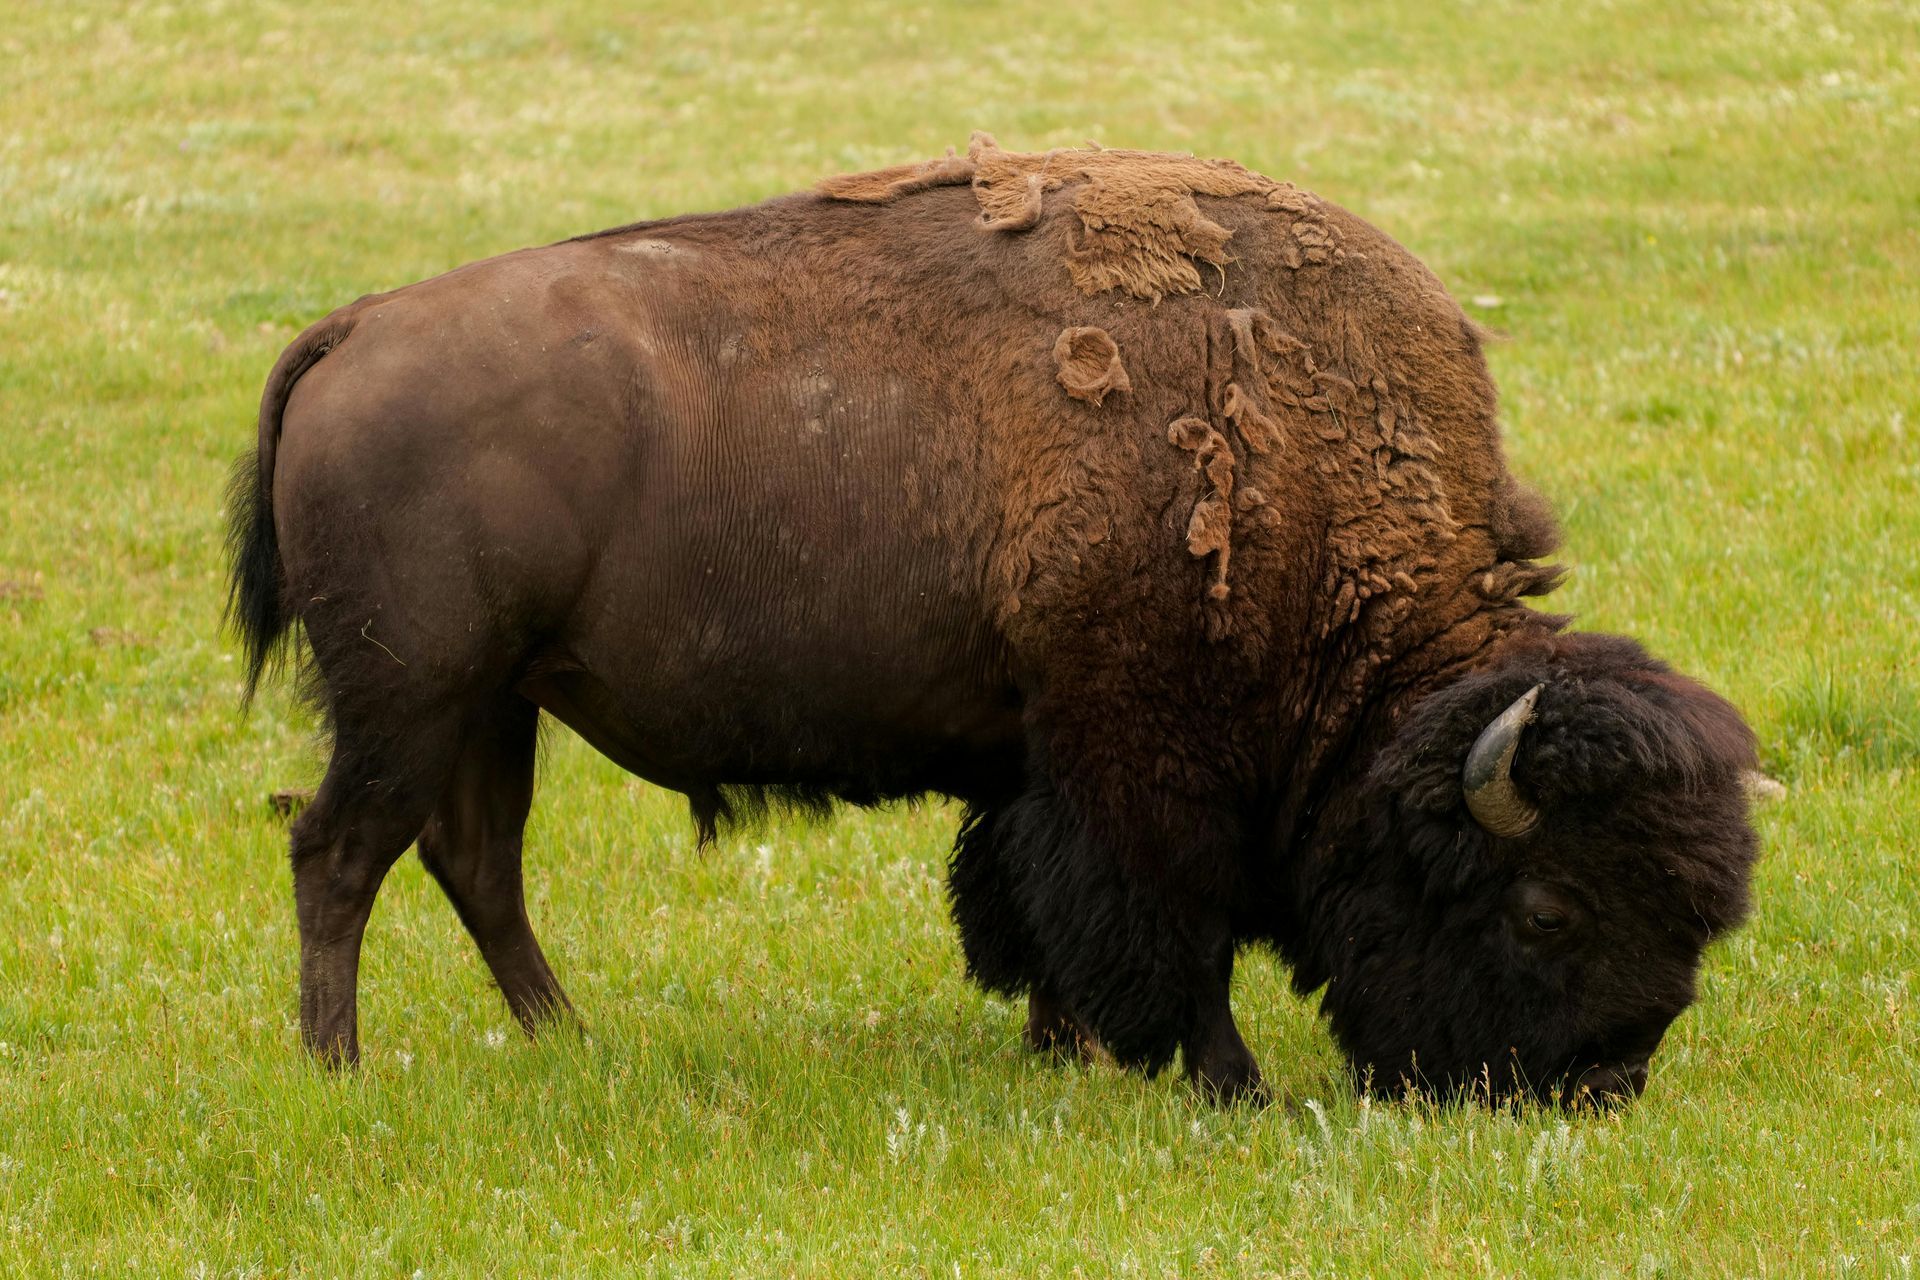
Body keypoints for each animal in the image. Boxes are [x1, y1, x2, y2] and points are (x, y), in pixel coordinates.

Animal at [226, 135, 1760, 1106]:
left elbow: (1029, 904)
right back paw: (339, 1070)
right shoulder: (1142, 766)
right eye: (1551, 906)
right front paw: (1230, 1082)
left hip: (495, 703)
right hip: (415, 697)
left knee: (472, 860)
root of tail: (358, 326)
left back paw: (570, 1042)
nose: (1601, 1084)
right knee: (340, 850)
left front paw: (1058, 1045)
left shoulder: (1036, 763)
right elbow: (1173, 926)